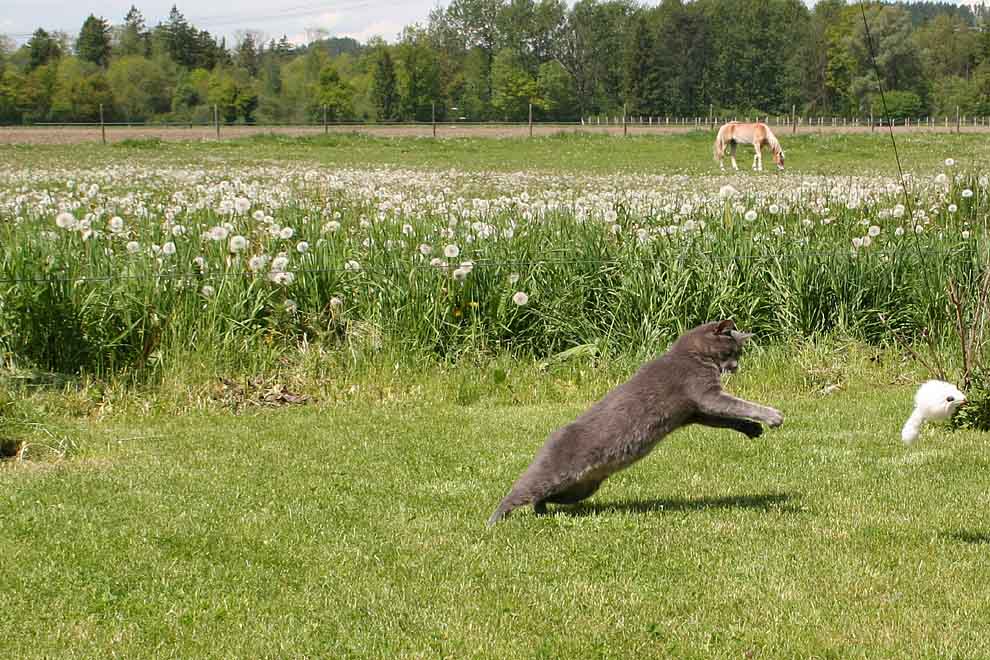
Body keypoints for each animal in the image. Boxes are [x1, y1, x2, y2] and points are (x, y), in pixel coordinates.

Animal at [488, 320, 784, 524]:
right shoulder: (705, 393)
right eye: (733, 351)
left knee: (544, 497)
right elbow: (740, 405)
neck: (693, 355)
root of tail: (553, 435)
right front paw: (773, 416)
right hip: (554, 474)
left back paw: (542, 511)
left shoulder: (693, 412)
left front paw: (752, 428)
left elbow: (726, 418)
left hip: (581, 488)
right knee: (519, 490)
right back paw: (495, 521)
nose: (736, 367)